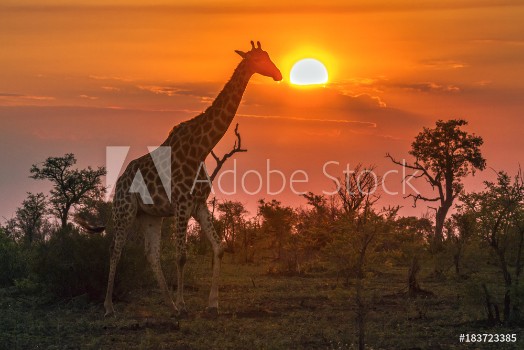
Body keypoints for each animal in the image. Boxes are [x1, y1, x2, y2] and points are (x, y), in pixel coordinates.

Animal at [89, 40, 280, 318]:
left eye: (268, 56)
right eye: (258, 59)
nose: (278, 74)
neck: (201, 147)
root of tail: (120, 181)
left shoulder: (198, 204)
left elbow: (218, 248)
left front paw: (212, 304)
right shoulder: (181, 203)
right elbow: (181, 256)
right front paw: (183, 304)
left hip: (150, 215)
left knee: (151, 254)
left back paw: (167, 303)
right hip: (125, 209)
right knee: (115, 249)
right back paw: (110, 306)